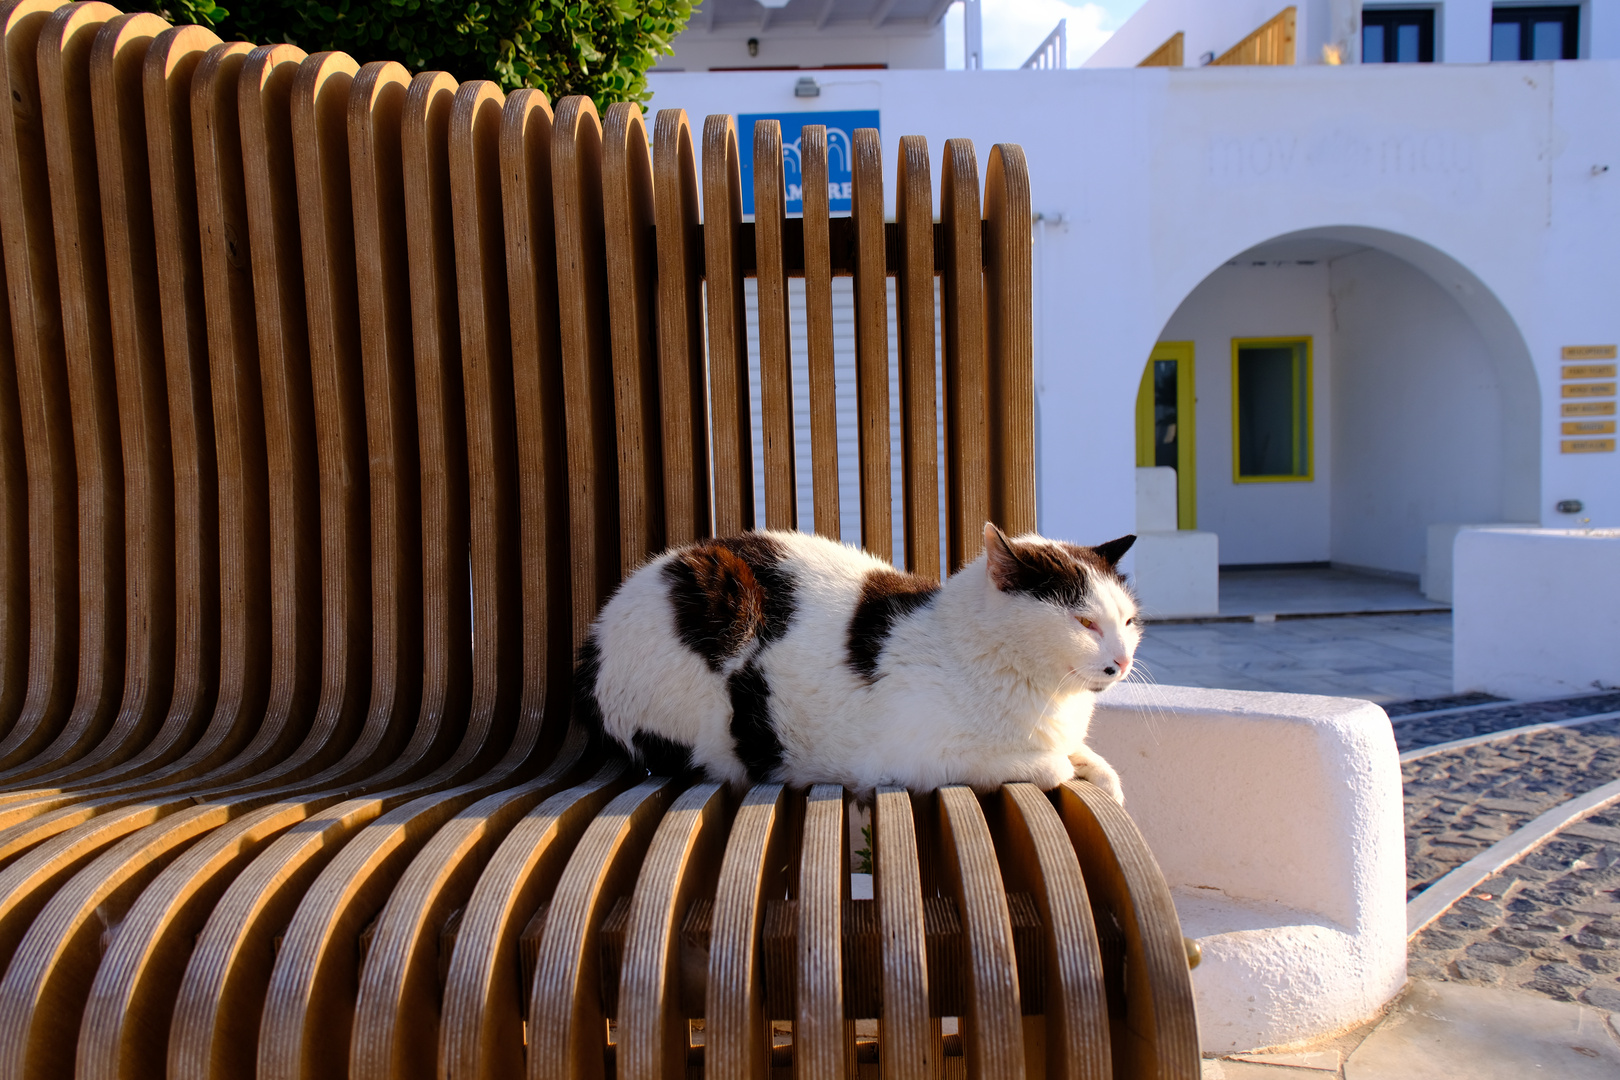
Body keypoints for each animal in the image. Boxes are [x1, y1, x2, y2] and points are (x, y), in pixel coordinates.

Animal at [570, 524, 1140, 803]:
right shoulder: (919, 759)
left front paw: (1103, 775)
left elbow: (1093, 763)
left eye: (1129, 621)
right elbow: (1053, 764)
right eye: (1086, 622)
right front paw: (1065, 764)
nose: (1123, 661)